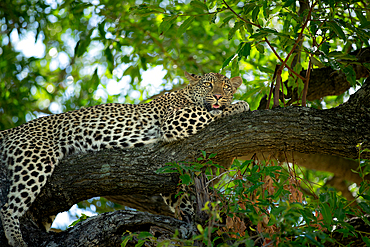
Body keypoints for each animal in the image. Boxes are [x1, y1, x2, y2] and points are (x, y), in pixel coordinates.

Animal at [0, 70, 249, 246]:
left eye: (227, 87)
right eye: (208, 84)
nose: (218, 96)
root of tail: (14, 129)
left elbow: (183, 200)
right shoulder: (175, 120)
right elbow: (211, 112)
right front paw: (240, 105)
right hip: (36, 158)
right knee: (8, 207)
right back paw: (16, 239)